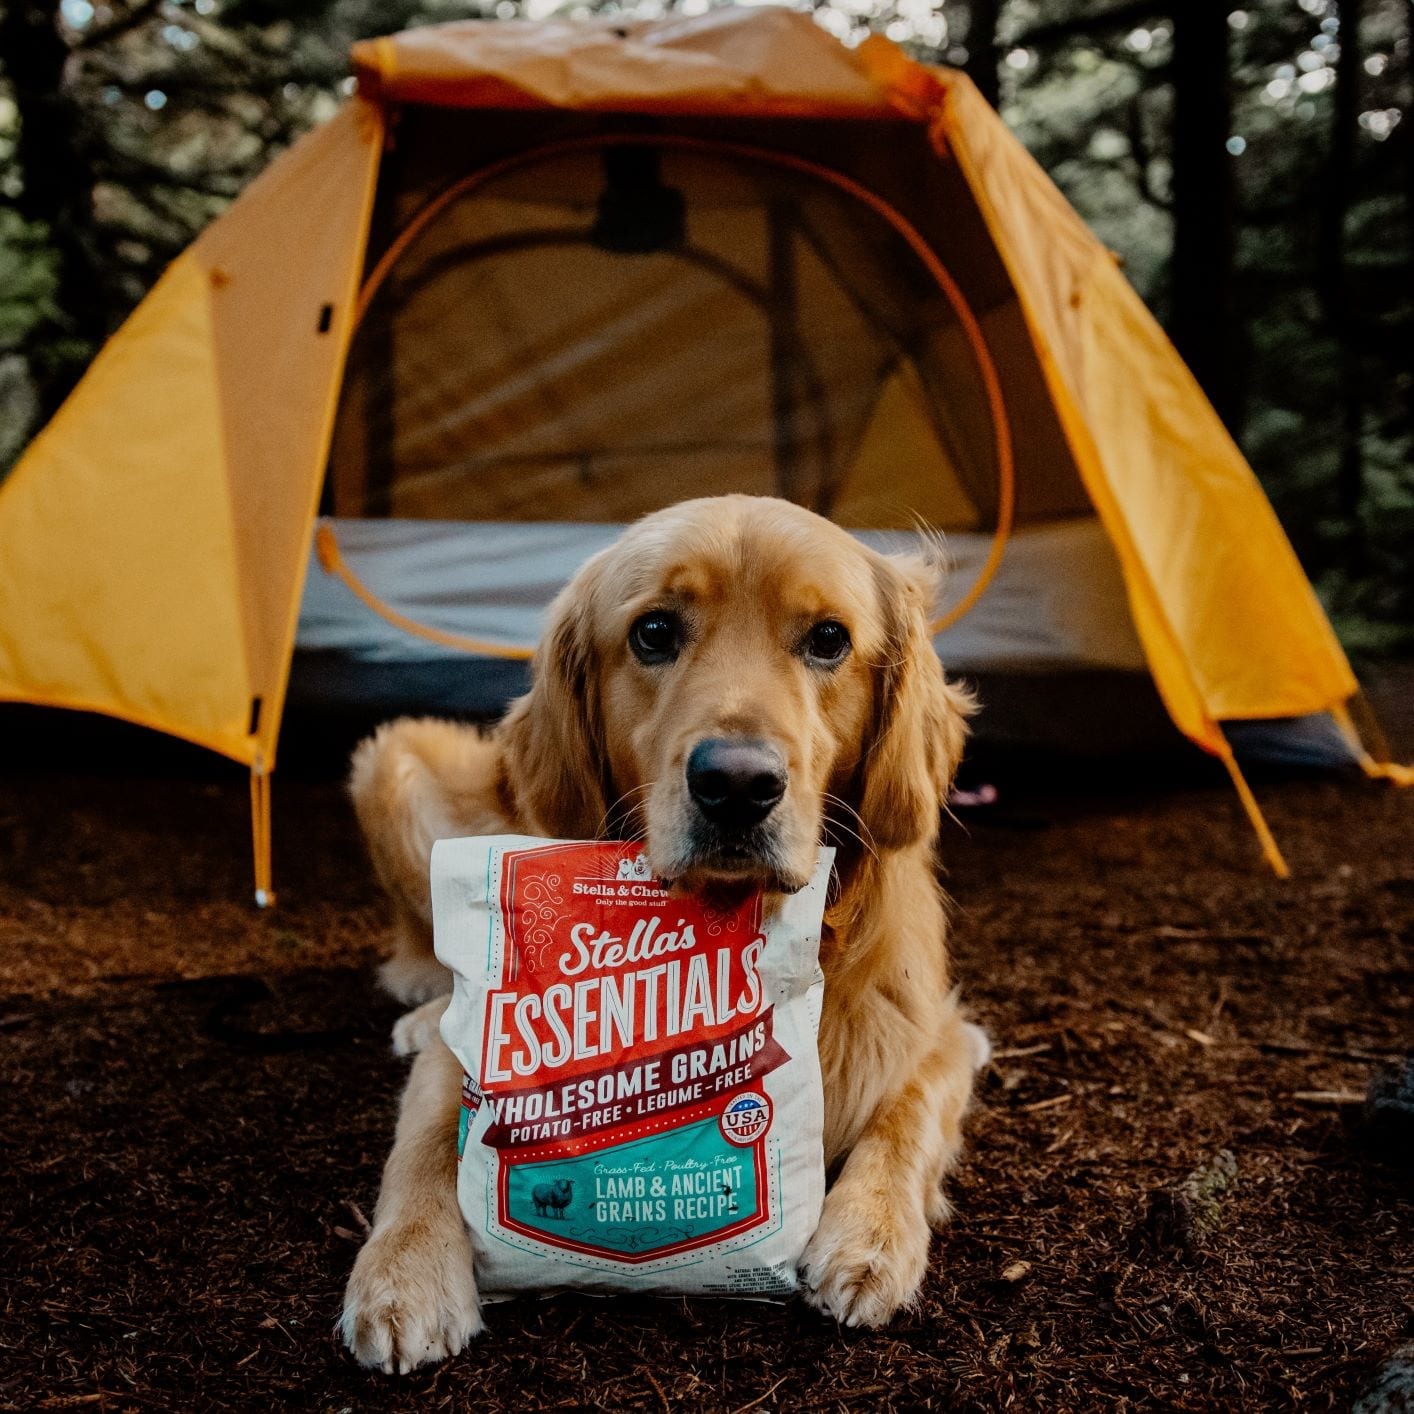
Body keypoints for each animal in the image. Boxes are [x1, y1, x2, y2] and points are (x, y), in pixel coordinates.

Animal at [337, 494, 989, 1368]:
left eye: (829, 639)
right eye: (653, 632)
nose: (737, 784)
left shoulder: (942, 1027)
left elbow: (909, 1107)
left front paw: (871, 1236)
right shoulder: (467, 1048)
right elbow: (431, 1133)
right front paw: (403, 1271)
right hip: (395, 760)